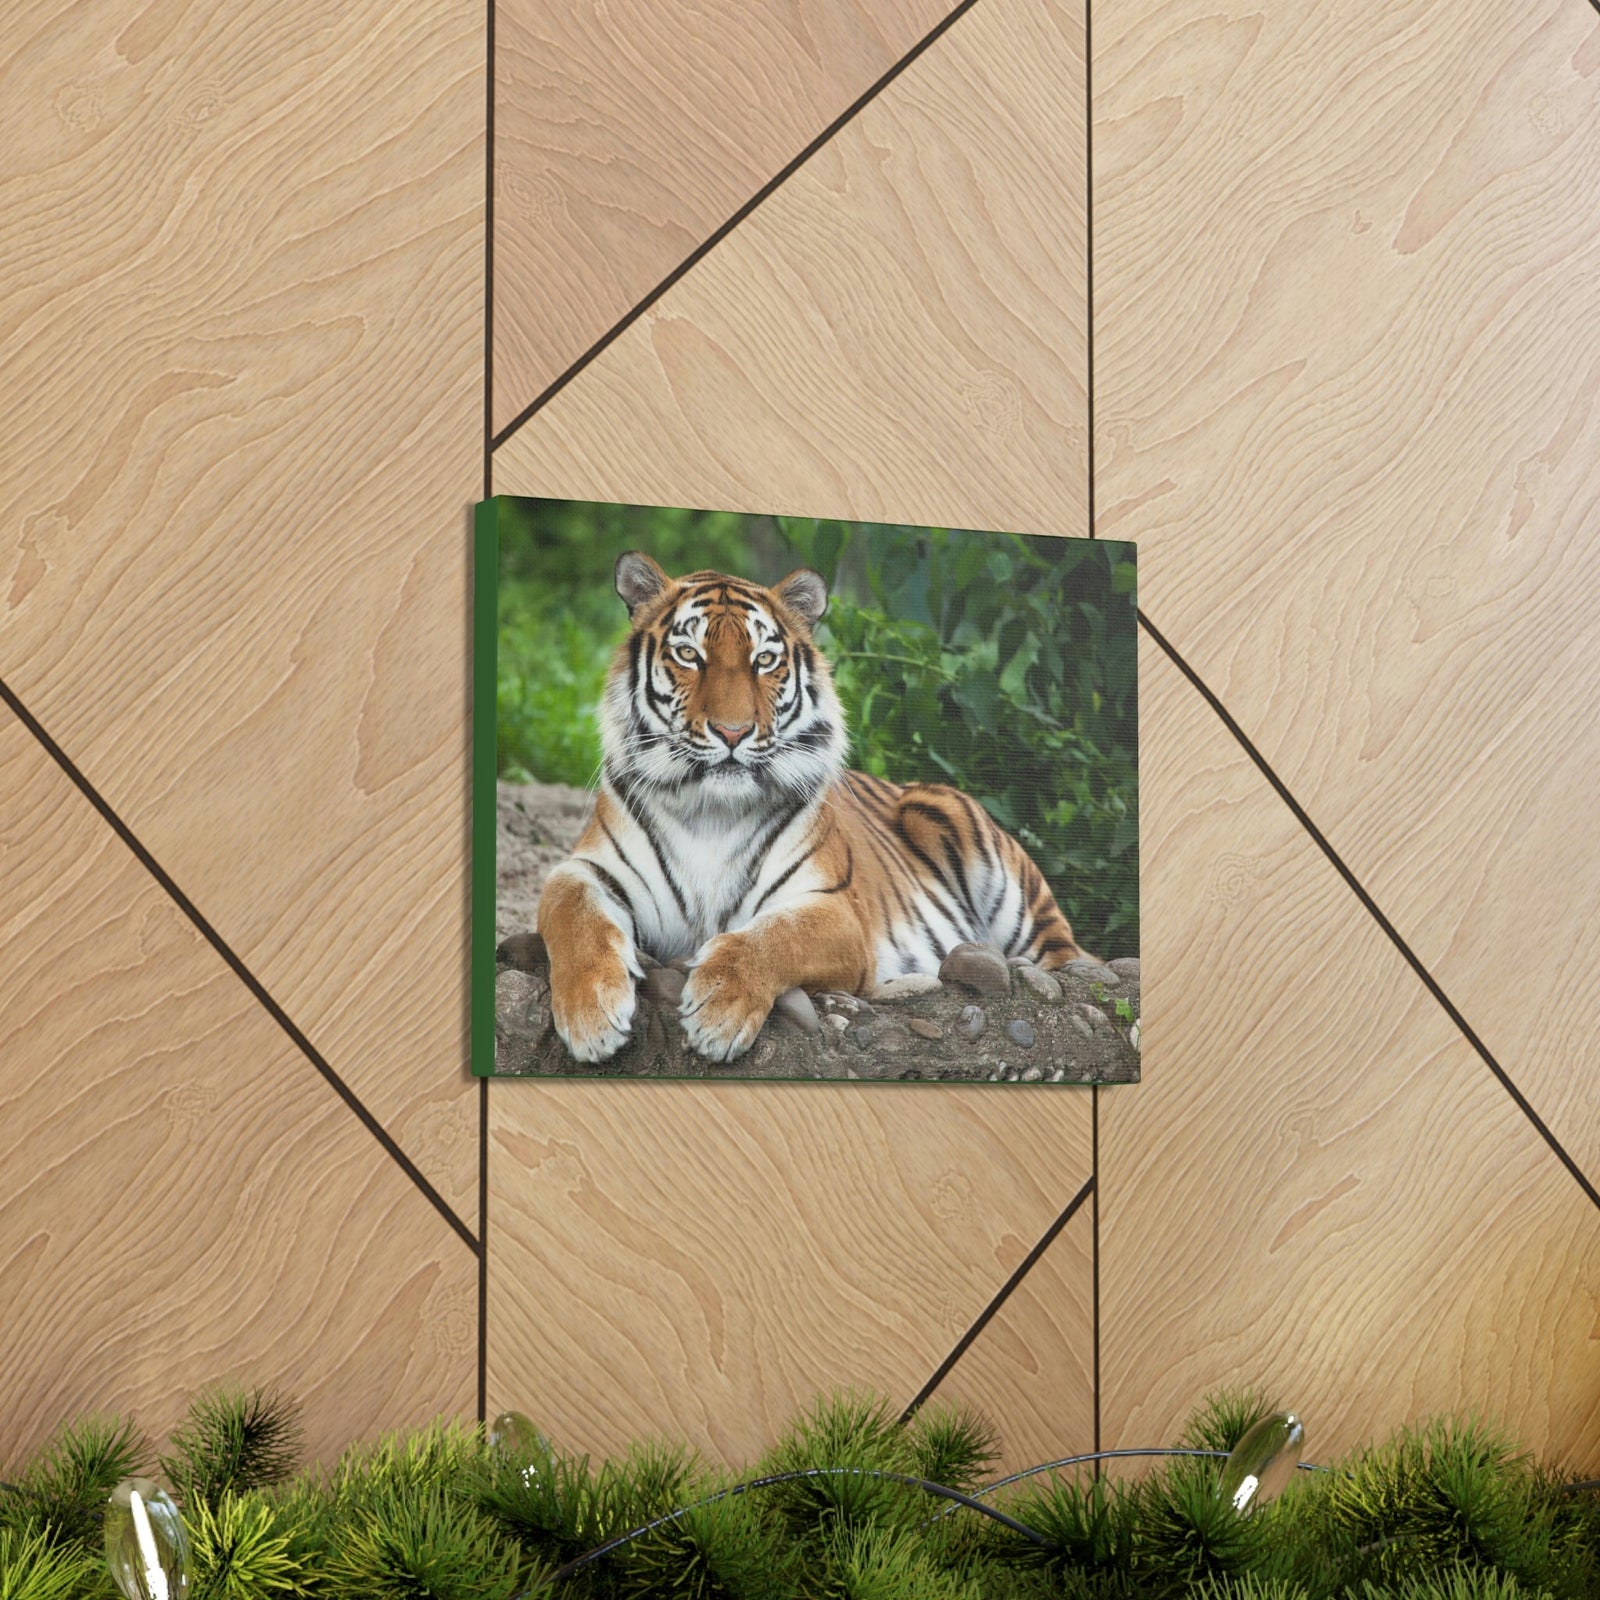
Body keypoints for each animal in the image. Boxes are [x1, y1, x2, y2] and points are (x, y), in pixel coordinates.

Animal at [537, 550, 1086, 1063]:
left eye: (764, 660)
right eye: (689, 654)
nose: (733, 732)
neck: (711, 811)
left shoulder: (836, 909)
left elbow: (773, 938)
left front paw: (719, 1011)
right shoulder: (585, 869)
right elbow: (574, 915)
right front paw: (591, 1015)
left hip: (972, 846)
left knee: (1070, 959)